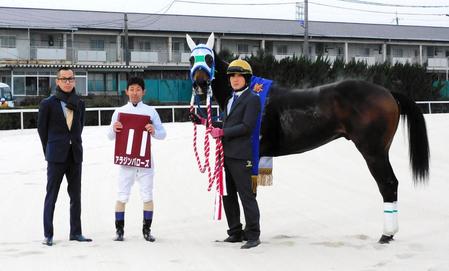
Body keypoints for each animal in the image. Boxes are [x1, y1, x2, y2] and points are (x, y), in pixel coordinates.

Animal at [186, 32, 430, 244]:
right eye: (191, 59)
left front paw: (248, 234)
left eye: (208, 58)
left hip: (374, 153)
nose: (200, 84)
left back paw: (386, 235)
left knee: (388, 184)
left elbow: (247, 193)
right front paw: (238, 234)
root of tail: (387, 93)